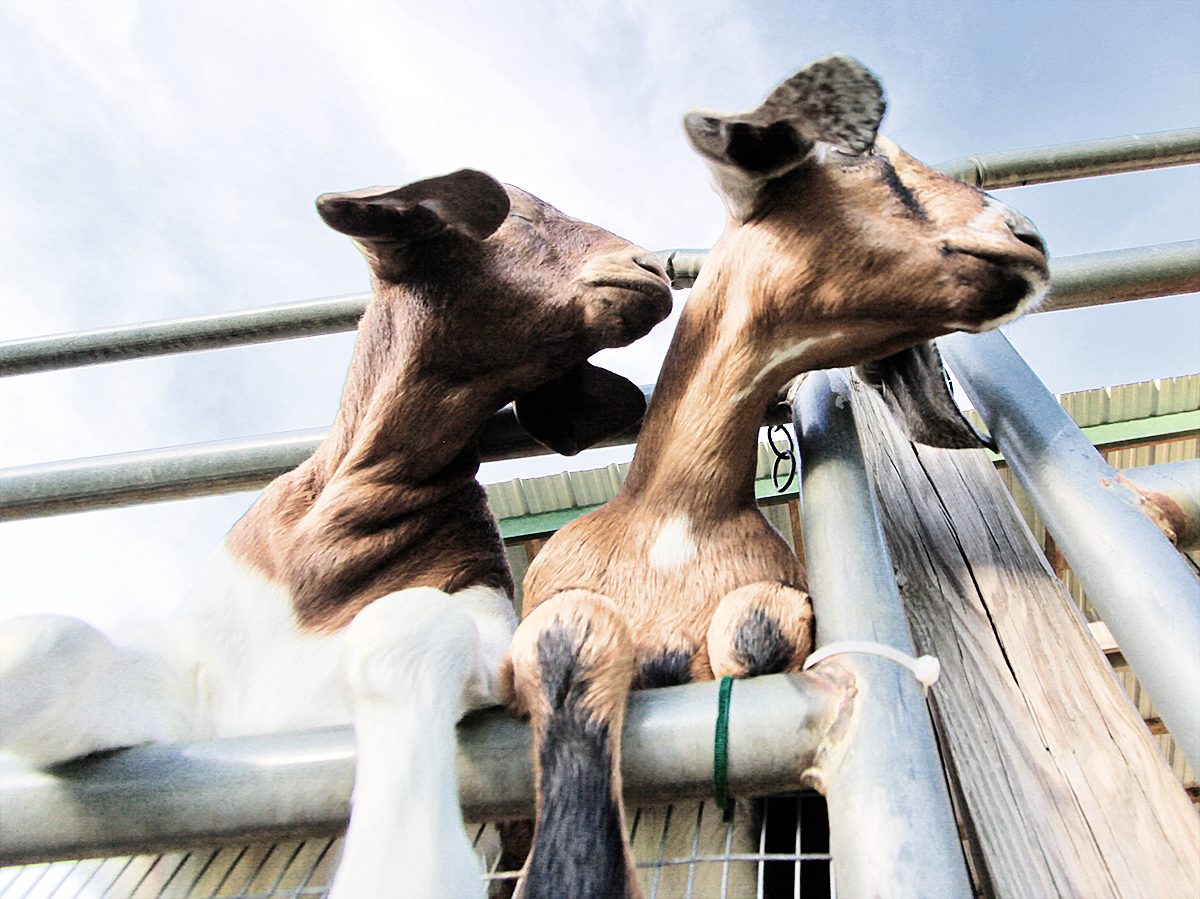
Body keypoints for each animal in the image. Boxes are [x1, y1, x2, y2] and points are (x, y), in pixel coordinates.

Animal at [0, 168, 676, 897]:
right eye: (521, 214)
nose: (649, 266)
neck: (331, 544)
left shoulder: (482, 625)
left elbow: (410, 624)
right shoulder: (194, 701)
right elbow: (42, 642)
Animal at [501, 56, 1046, 897]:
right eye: (860, 153)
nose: (1027, 238)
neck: (673, 520)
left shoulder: (776, 601)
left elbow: (754, 631)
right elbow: (569, 635)